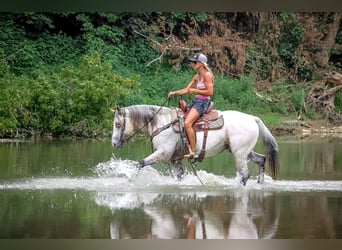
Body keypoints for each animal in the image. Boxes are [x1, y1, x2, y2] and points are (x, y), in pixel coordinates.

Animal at [111, 104, 280, 186]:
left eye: (118, 124)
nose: (113, 143)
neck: (162, 122)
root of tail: (253, 118)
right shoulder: (175, 159)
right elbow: (179, 177)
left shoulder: (163, 153)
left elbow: (140, 163)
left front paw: (130, 181)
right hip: (243, 152)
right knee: (261, 160)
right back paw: (260, 183)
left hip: (239, 154)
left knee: (244, 174)